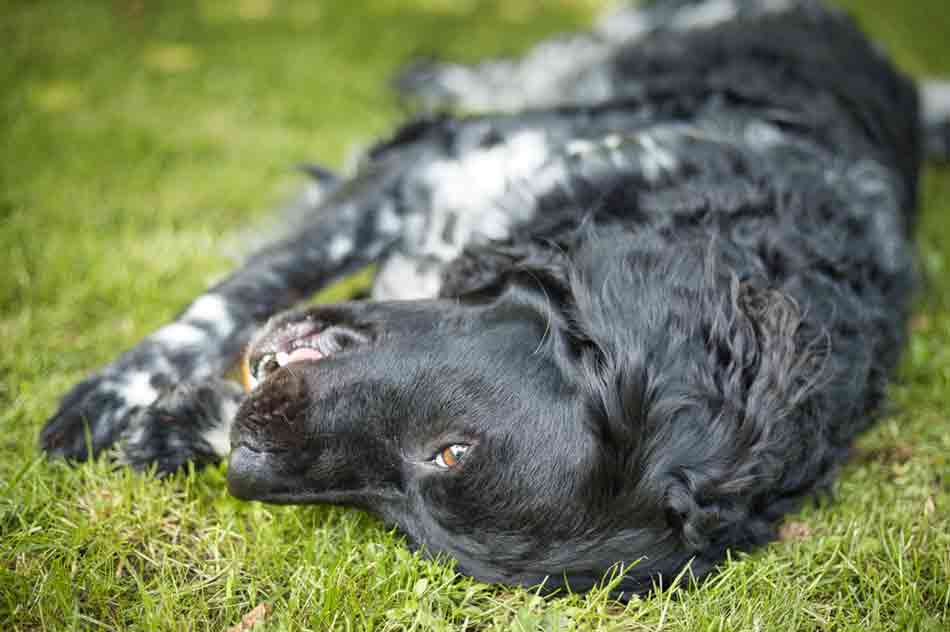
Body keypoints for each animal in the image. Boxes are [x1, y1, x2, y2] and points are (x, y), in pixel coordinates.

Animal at [41, 0, 950, 596]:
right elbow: (240, 293)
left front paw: (180, 423)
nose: (247, 472)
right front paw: (104, 402)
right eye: (455, 450)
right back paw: (436, 71)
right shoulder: (423, 170)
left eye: (428, 476)